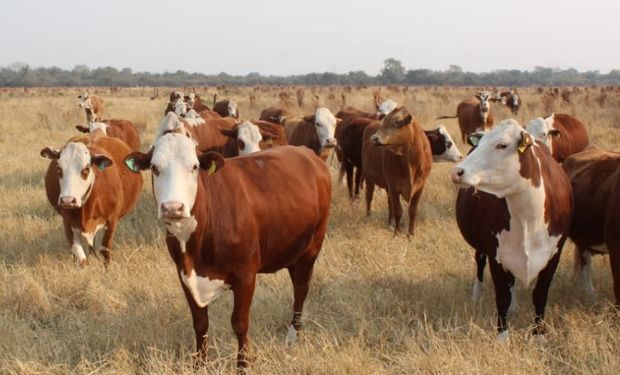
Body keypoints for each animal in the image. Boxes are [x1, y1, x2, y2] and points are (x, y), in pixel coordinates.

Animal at [40, 132, 142, 268]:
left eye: (86, 168)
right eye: (58, 168)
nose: (68, 200)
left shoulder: (112, 221)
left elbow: (105, 250)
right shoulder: (68, 223)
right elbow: (80, 257)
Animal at [364, 106, 432, 235]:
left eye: (396, 122)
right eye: (384, 122)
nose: (374, 138)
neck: (411, 163)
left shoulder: (421, 186)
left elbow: (412, 210)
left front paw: (411, 234)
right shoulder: (393, 186)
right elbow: (398, 210)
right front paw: (397, 233)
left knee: (389, 203)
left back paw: (389, 223)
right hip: (368, 178)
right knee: (369, 197)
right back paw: (368, 216)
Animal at [448, 120, 572, 340]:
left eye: (502, 145)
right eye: (481, 143)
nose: (457, 172)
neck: (528, 218)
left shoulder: (553, 255)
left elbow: (540, 295)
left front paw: (539, 333)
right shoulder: (496, 254)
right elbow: (502, 297)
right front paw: (502, 336)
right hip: (483, 247)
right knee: (480, 262)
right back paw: (477, 294)